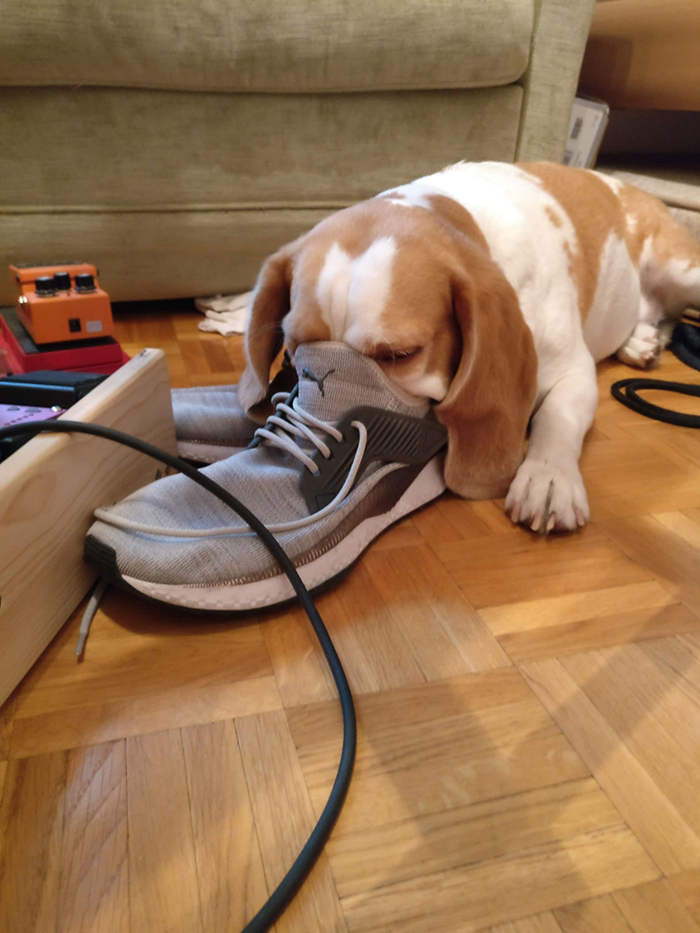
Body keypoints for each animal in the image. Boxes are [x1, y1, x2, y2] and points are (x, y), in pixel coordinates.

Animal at [232, 162, 696, 532]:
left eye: (400, 356)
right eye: (296, 345)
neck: (461, 221)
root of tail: (626, 184)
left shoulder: (573, 371)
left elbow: (558, 417)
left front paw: (548, 477)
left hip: (683, 270)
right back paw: (641, 340)